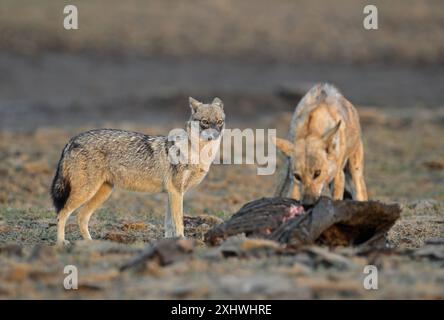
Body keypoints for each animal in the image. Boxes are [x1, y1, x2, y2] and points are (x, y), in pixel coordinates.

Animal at [52, 97, 225, 245]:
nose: (215, 136)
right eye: (204, 122)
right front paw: (181, 239)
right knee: (62, 213)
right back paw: (61, 242)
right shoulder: (176, 192)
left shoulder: (172, 193)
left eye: (219, 122)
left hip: (102, 192)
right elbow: (178, 223)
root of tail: (72, 139)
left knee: (81, 217)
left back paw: (90, 243)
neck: (197, 153)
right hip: (85, 192)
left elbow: (169, 224)